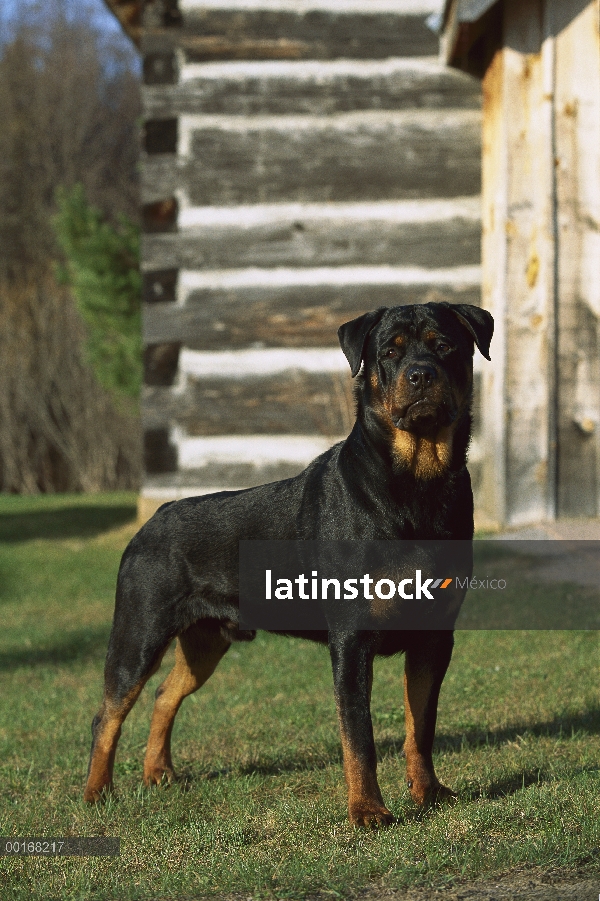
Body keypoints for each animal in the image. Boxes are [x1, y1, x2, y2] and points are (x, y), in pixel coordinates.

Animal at [83, 300, 492, 824]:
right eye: (389, 352)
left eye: (444, 345)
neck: (416, 483)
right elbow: (358, 736)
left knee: (164, 695)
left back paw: (159, 773)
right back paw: (97, 792)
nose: (420, 374)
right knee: (109, 713)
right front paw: (367, 811)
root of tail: (152, 520)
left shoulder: (435, 636)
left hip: (206, 640)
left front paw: (429, 793)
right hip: (139, 633)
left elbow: (421, 725)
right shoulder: (351, 640)